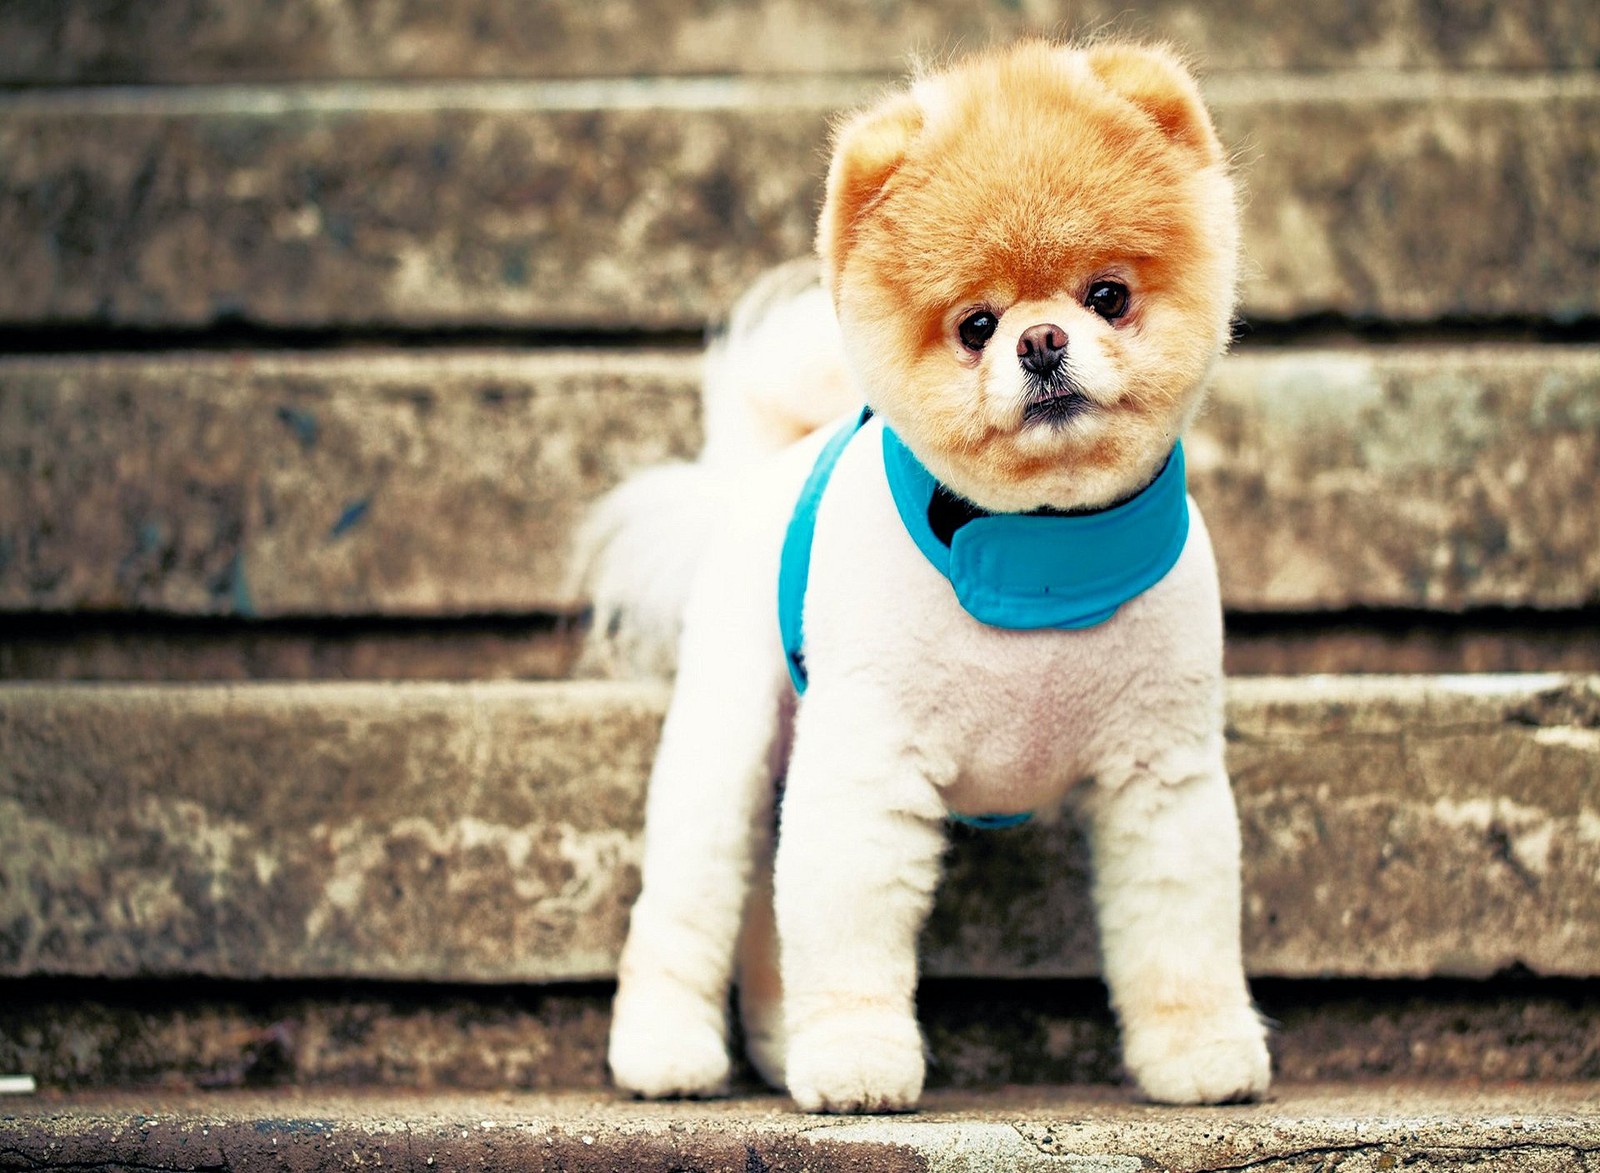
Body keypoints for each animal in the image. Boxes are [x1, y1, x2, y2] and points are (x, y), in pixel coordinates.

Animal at [582, 36, 1267, 1113]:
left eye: (1107, 297)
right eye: (975, 326)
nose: (1041, 341)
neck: (1042, 555)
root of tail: (762, 465)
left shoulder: (1159, 773)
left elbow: (1179, 933)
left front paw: (1199, 1053)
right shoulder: (871, 763)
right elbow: (851, 928)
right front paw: (856, 1058)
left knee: (767, 907)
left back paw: (779, 1037)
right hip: (725, 737)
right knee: (691, 894)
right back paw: (667, 1050)